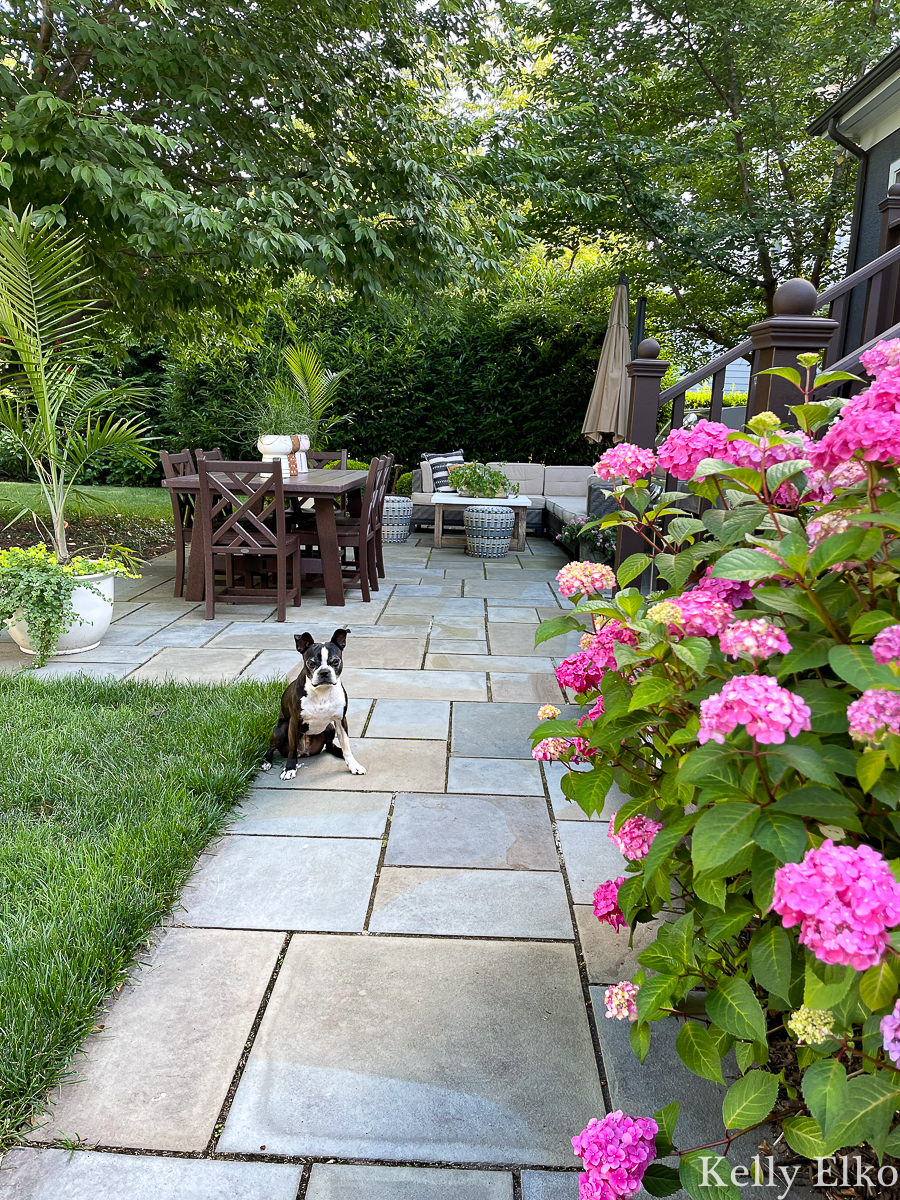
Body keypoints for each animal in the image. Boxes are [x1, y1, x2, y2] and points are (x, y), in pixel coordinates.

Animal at [259, 633, 364, 782]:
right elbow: (292, 749)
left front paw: (353, 765)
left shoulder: (340, 720)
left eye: (335, 661)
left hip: (330, 728)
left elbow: (346, 746)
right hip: (281, 730)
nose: (324, 672)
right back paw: (266, 762)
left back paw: (339, 752)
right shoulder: (295, 722)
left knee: (330, 745)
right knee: (271, 749)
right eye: (311, 663)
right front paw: (289, 769)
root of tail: (305, 752)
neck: (322, 691)